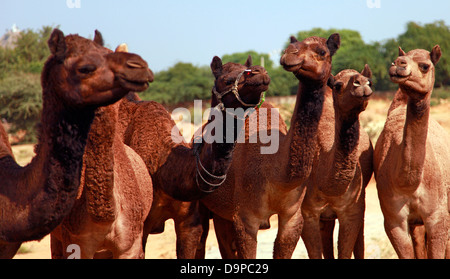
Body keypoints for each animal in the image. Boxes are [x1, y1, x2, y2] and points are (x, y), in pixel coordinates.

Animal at [200, 34, 342, 260]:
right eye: (292, 45)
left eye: (322, 52)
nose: (289, 54)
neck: (277, 173)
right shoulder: (245, 218)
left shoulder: (292, 217)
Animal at [300, 64, 374, 260]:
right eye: (338, 85)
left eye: (369, 81)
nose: (362, 83)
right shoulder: (307, 213)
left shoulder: (352, 211)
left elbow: (345, 252)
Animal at [372, 44, 450, 260]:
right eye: (400, 58)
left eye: (425, 65)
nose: (398, 65)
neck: (408, 183)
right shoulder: (394, 220)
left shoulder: (438, 217)